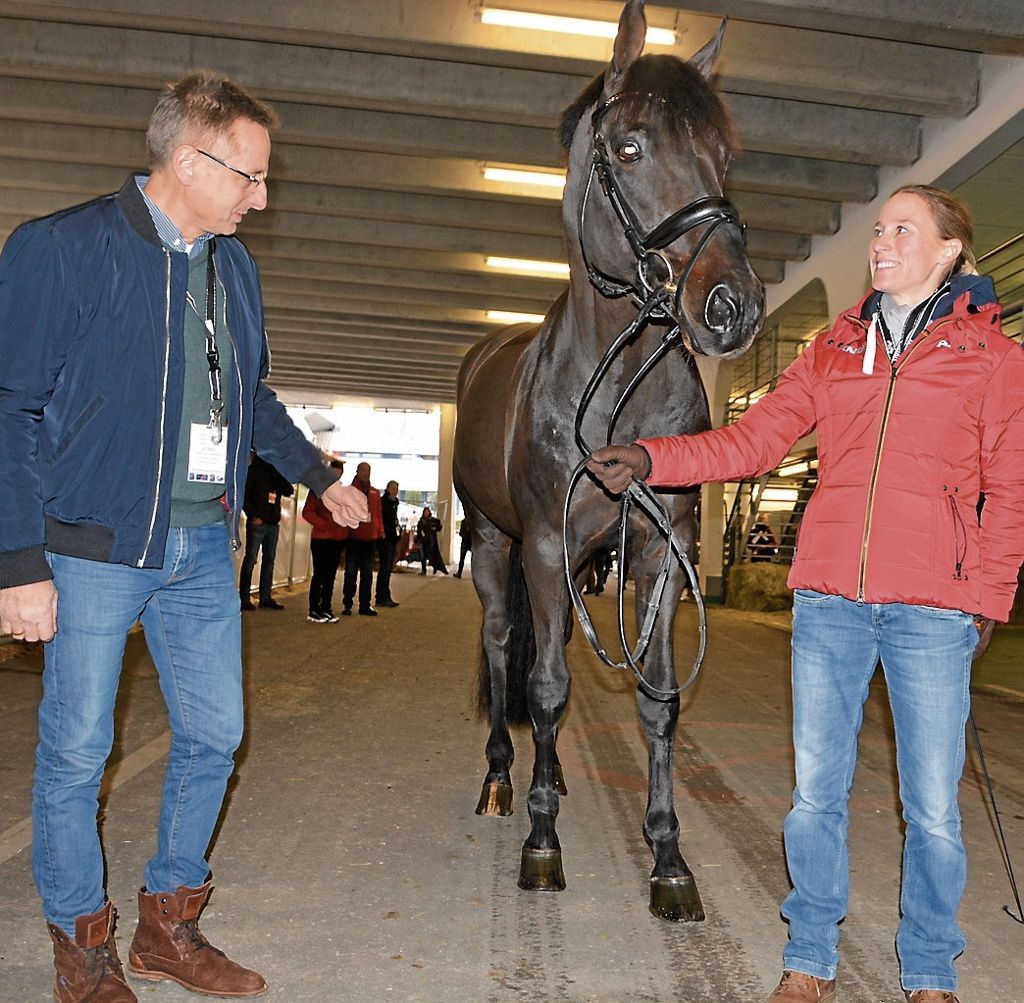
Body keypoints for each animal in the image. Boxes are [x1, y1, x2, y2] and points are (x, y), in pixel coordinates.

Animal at [454, 0, 761, 922]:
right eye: (628, 148)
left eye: (724, 154)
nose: (732, 307)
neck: (619, 386)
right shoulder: (547, 546)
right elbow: (547, 685)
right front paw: (542, 845)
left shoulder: (663, 550)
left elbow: (658, 702)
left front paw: (669, 857)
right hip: (495, 546)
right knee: (505, 647)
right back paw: (503, 782)